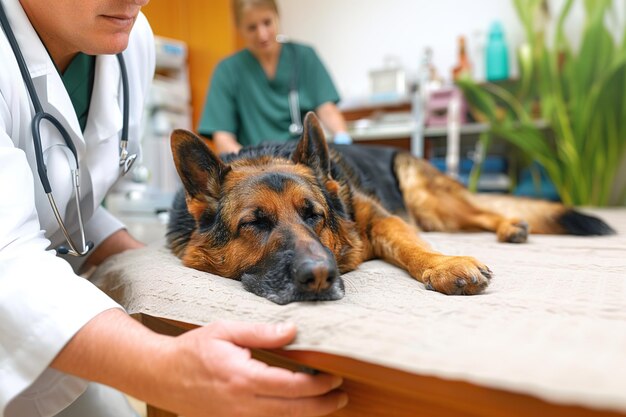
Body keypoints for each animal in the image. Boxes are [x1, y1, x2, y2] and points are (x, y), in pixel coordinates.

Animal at [165, 112, 608, 304]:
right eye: (254, 224)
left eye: (314, 216)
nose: (319, 276)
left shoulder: (381, 219)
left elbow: (412, 245)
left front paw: (443, 265)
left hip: (427, 198)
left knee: (478, 212)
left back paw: (509, 225)